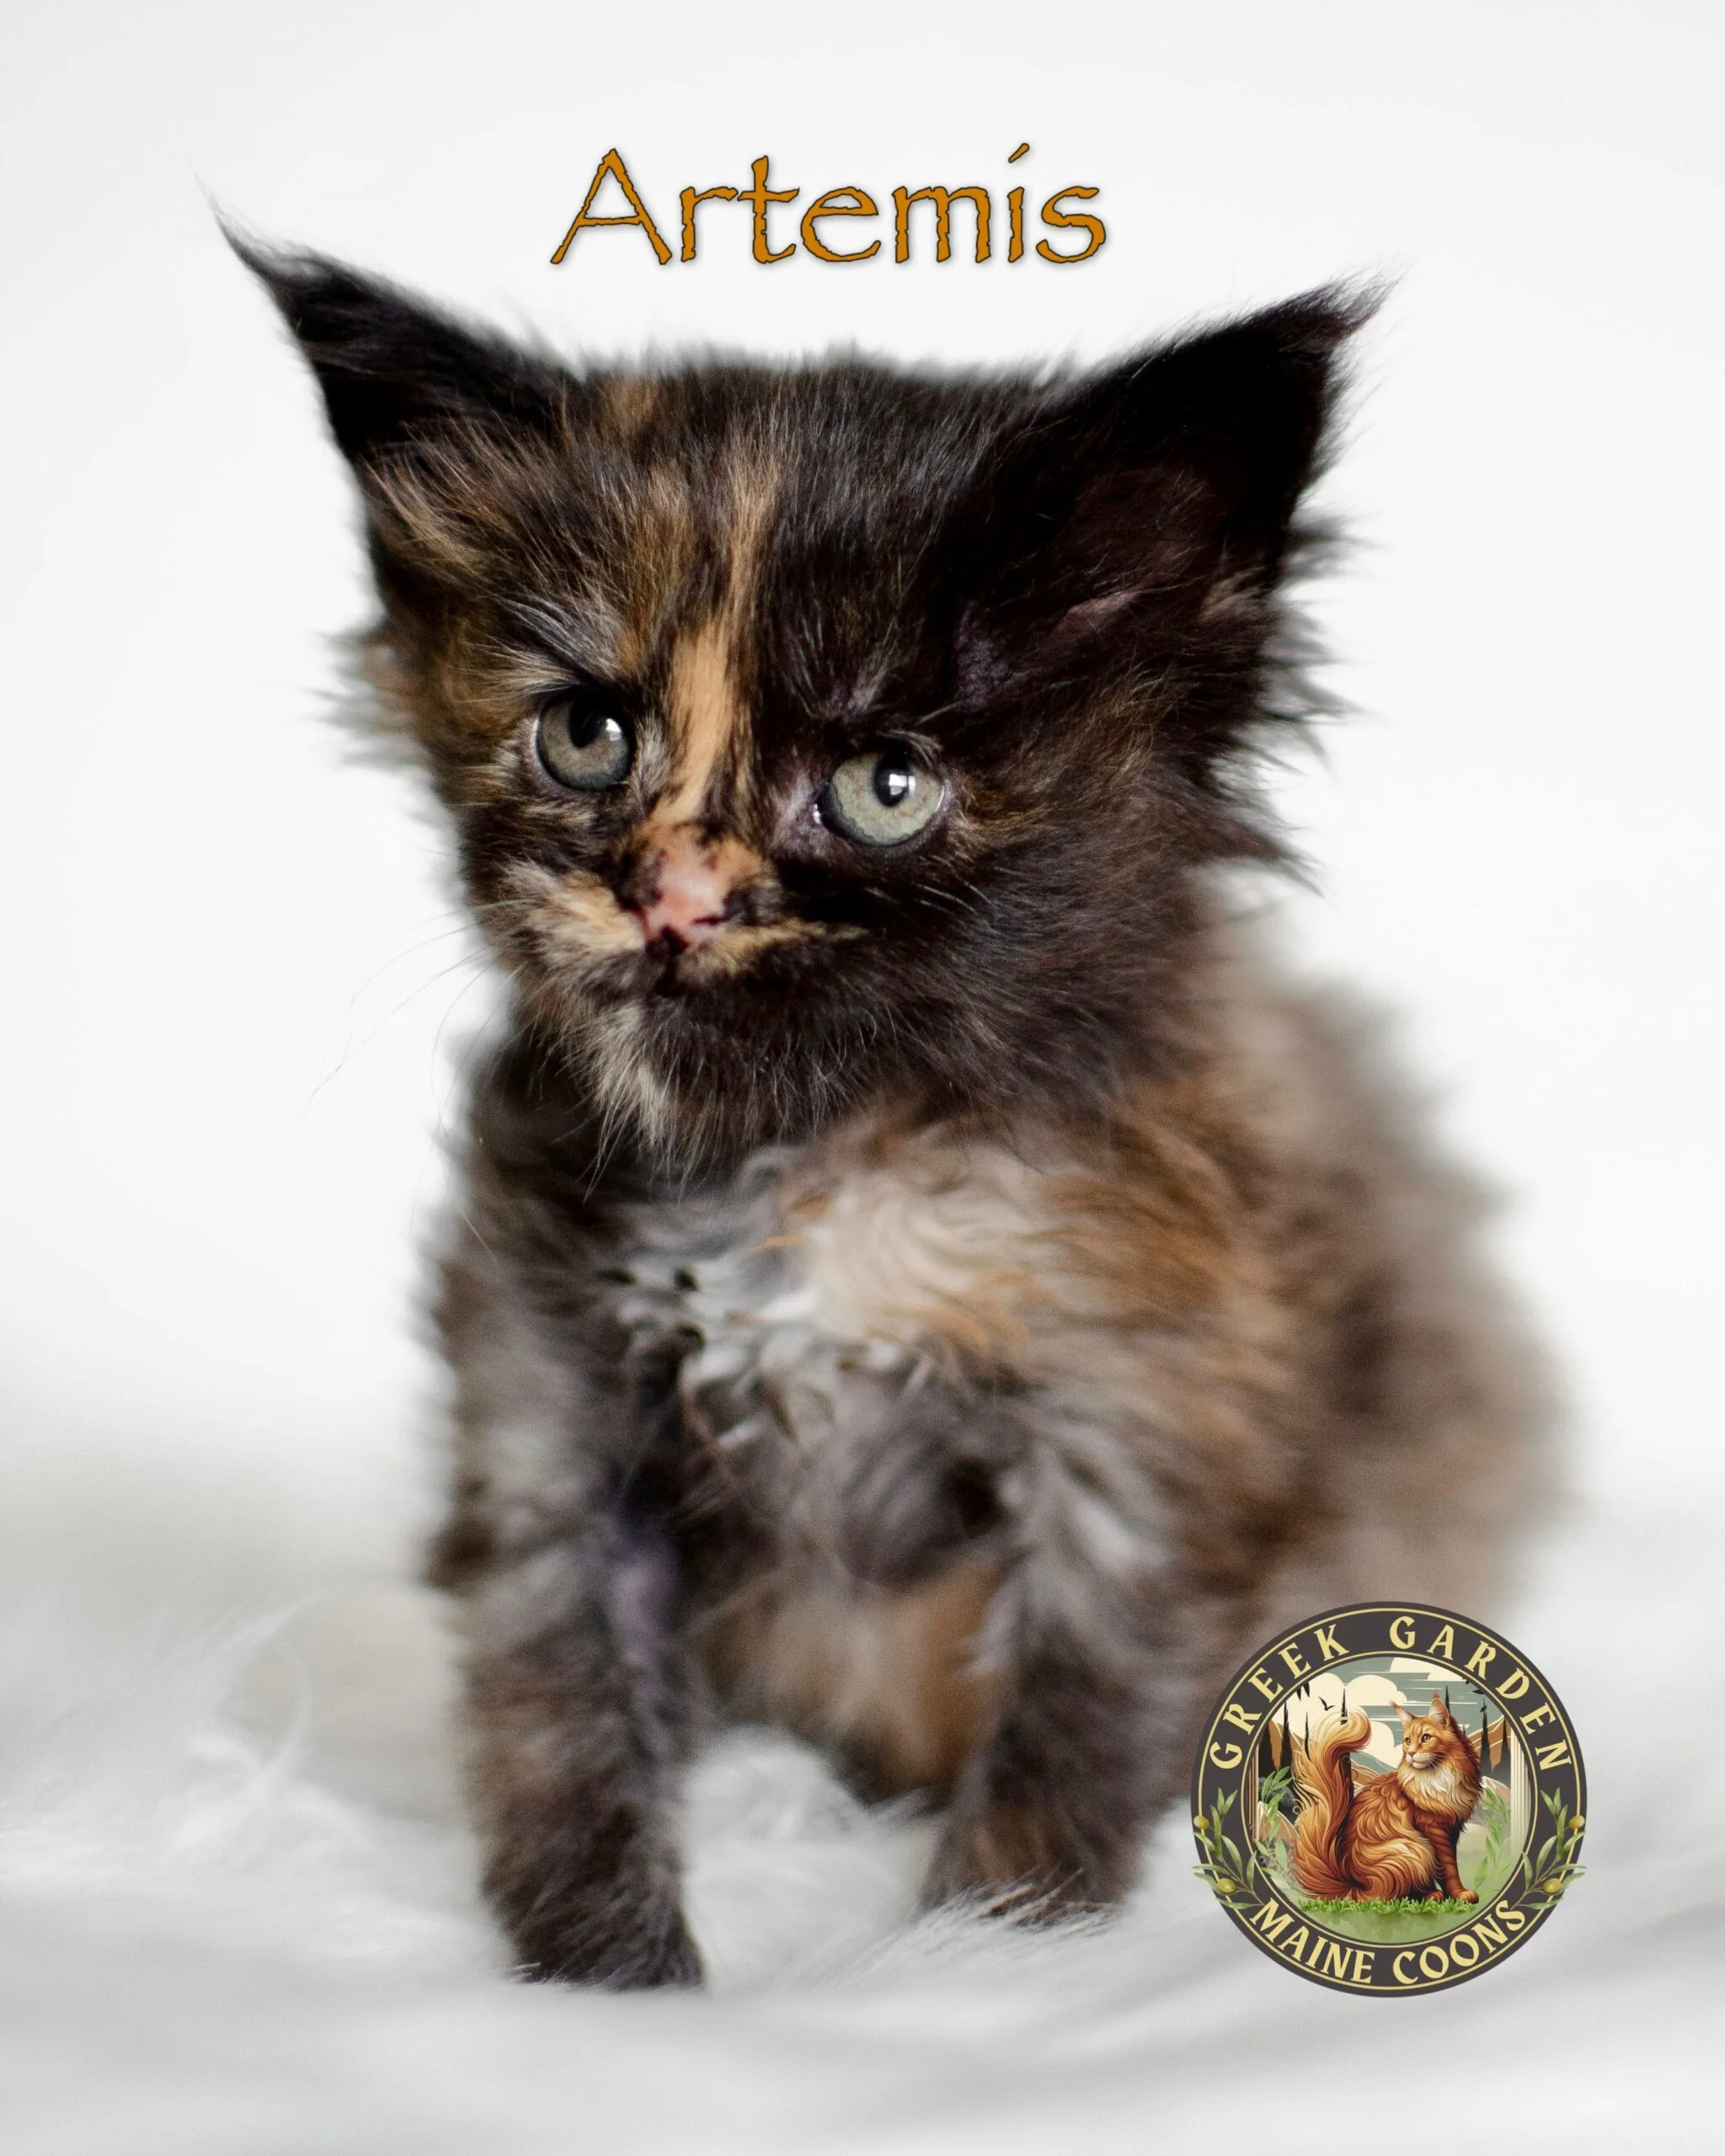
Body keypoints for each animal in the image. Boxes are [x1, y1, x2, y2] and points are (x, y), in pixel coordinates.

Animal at [1284, 1699, 1492, 1906]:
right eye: (1408, 1741)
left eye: (1425, 1738)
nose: (1411, 1753)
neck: (1439, 1779)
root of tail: (1353, 1886)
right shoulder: (1434, 1829)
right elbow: (1449, 1869)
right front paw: (1460, 1894)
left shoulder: (1453, 1828)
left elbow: (1450, 1866)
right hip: (1413, 1848)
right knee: (1391, 1896)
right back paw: (1431, 1896)